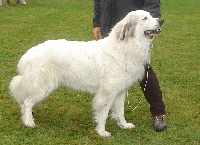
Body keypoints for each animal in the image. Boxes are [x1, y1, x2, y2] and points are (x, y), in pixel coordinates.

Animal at [8, 10, 163, 137]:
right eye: (144, 18)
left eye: (151, 15)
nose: (161, 20)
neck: (125, 46)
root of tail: (29, 54)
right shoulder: (107, 92)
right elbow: (103, 114)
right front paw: (102, 132)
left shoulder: (119, 92)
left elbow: (120, 111)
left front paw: (123, 125)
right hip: (43, 87)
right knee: (27, 102)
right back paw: (29, 122)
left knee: (25, 103)